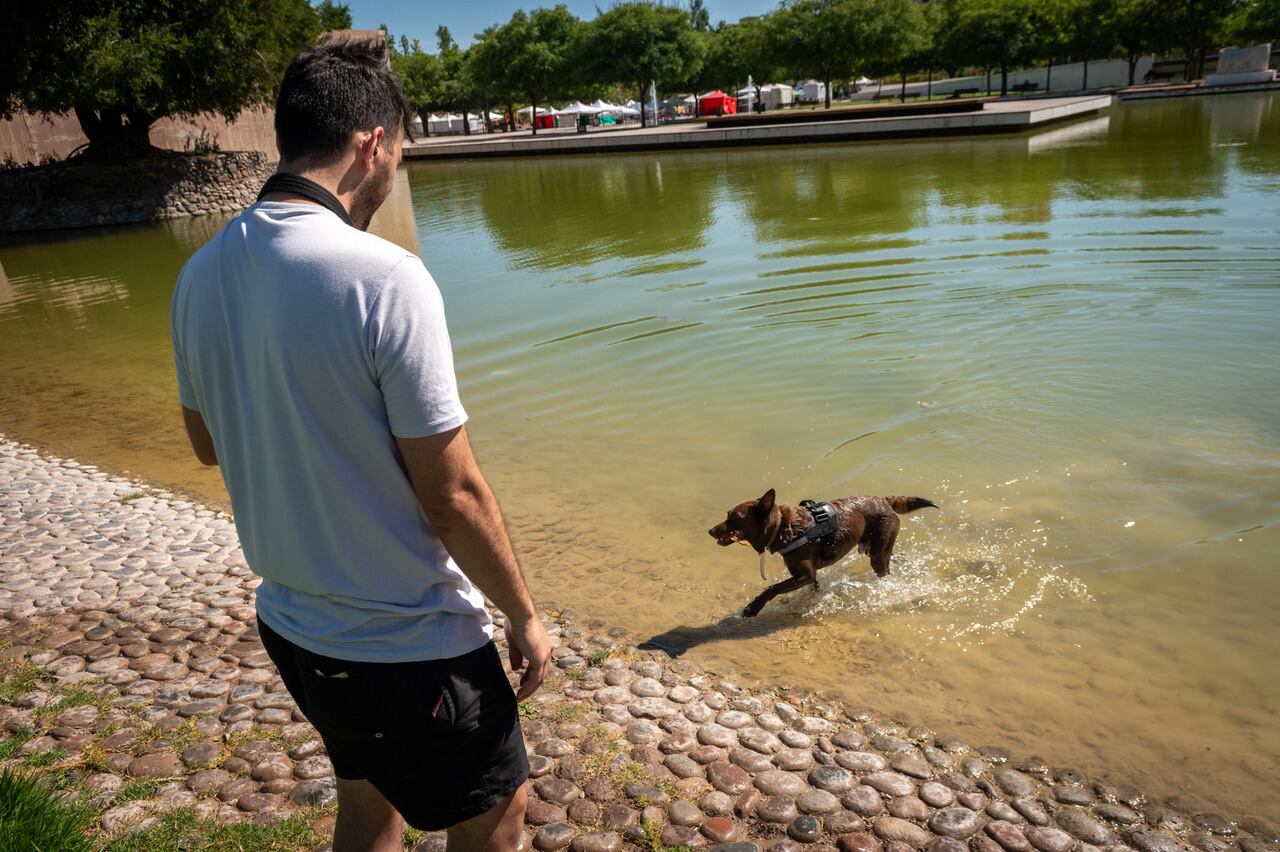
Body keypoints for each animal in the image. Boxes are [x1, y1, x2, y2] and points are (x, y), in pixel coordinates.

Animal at [706, 488, 936, 614]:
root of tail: (885, 500)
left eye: (735, 517)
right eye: (727, 514)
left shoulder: (805, 574)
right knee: (892, 557)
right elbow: (811, 588)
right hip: (875, 548)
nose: (710, 531)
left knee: (884, 569)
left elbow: (771, 588)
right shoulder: (810, 575)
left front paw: (752, 608)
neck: (784, 528)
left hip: (878, 553)